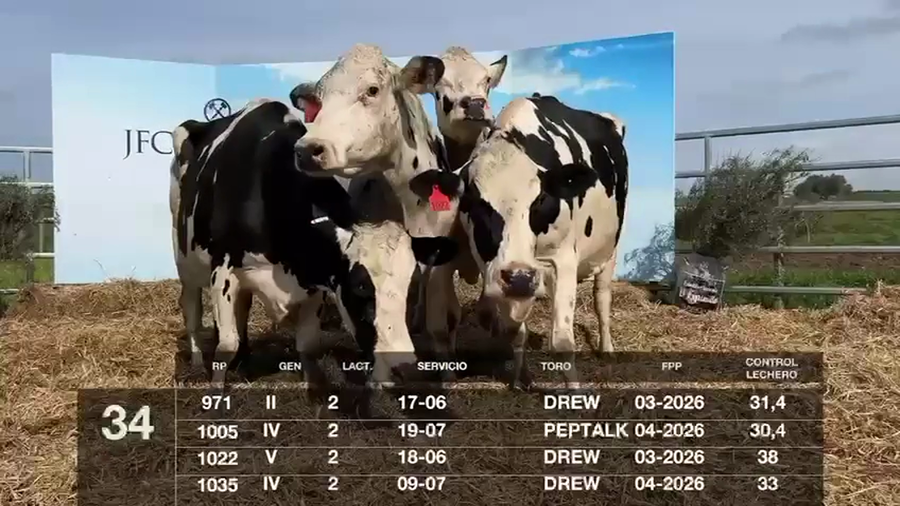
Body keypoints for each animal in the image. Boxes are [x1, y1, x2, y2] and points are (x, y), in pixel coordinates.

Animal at [169, 98, 457, 392]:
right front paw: (216, 390)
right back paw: (196, 361)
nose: (405, 369)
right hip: (184, 260)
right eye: (360, 288)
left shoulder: (317, 277)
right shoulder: (223, 270)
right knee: (192, 311)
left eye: (409, 288)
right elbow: (226, 345)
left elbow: (306, 344)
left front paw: (314, 388)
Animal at [412, 94, 629, 389]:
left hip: (610, 249)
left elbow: (562, 341)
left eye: (539, 200)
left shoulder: (563, 260)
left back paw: (607, 349)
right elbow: (511, 329)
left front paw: (574, 391)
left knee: (602, 298)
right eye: (474, 202)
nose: (519, 278)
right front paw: (518, 378)